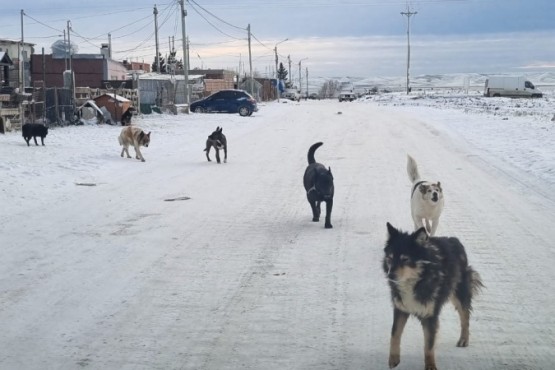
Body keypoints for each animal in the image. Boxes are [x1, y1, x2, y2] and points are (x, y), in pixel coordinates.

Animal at [382, 223, 482, 370]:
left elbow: (428, 346)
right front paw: (393, 360)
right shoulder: (400, 309)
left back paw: (464, 339)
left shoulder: (430, 315)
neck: (417, 281)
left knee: (465, 316)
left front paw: (430, 366)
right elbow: (394, 334)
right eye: (389, 258)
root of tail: (453, 239)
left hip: (459, 293)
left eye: (405, 259)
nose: (390, 276)